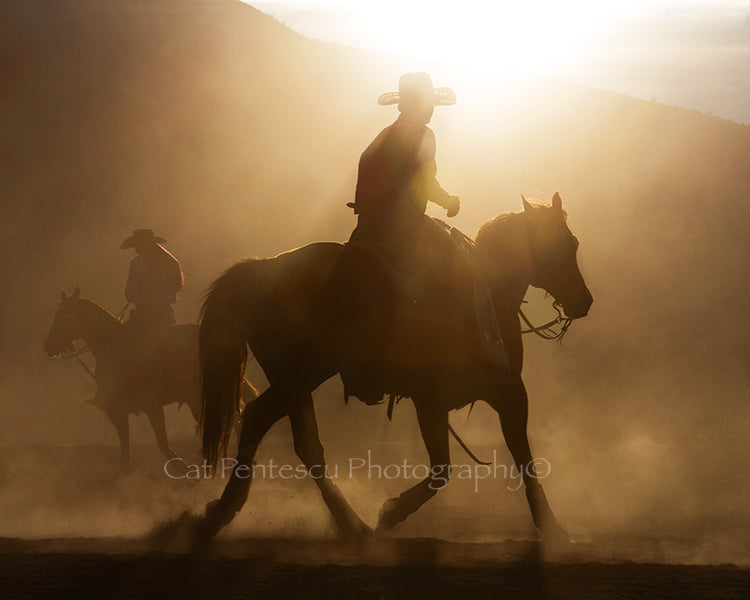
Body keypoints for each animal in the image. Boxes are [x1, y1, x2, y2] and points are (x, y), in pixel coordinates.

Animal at [45, 288, 262, 472]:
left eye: (60, 317)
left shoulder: (136, 407)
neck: (107, 342)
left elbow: (157, 440)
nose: (48, 347)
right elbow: (129, 440)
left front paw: (181, 467)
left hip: (199, 398)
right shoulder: (134, 409)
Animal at [192, 193, 592, 548]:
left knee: (285, 433)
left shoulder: (487, 395)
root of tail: (259, 269)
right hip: (300, 375)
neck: (485, 295)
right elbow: (463, 467)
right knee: (274, 426)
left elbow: (508, 458)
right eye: (560, 243)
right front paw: (392, 511)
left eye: (572, 242)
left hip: (297, 380)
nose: (584, 301)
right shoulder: (454, 398)